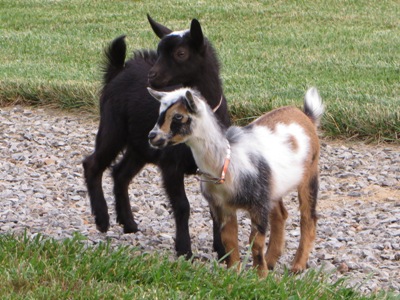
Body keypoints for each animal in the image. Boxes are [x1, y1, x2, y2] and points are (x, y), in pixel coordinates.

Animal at [82, 15, 228, 258]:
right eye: (159, 52)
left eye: (181, 53)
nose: (152, 76)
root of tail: (119, 70)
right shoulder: (171, 165)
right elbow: (182, 206)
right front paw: (184, 250)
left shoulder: (214, 168)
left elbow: (217, 208)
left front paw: (223, 251)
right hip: (113, 128)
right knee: (92, 163)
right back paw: (102, 219)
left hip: (140, 145)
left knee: (120, 173)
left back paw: (129, 223)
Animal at [147, 86, 324, 276]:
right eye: (160, 111)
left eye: (178, 116)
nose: (152, 136)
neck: (227, 163)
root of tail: (305, 116)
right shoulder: (222, 207)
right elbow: (229, 240)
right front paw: (233, 273)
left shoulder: (258, 204)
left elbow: (256, 242)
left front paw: (260, 276)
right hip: (273, 186)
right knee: (280, 215)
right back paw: (270, 261)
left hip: (309, 174)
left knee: (308, 218)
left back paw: (297, 266)